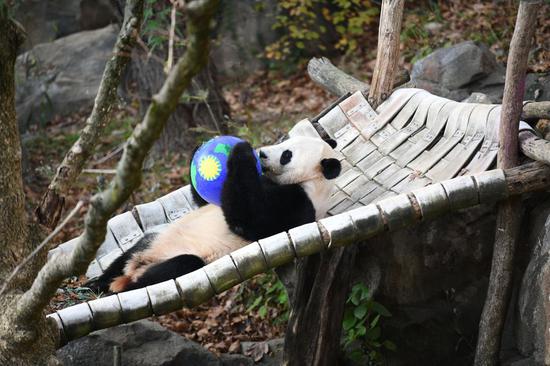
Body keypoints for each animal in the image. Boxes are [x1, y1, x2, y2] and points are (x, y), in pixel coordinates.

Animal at [90, 136, 340, 294]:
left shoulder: (297, 205)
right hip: (153, 241)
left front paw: (241, 151)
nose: (262, 153)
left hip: (180, 258)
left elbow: (250, 219)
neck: (313, 182)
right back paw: (98, 285)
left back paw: (122, 289)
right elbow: (204, 201)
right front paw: (200, 147)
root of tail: (134, 270)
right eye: (284, 142)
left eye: (287, 155)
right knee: (126, 256)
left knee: (179, 266)